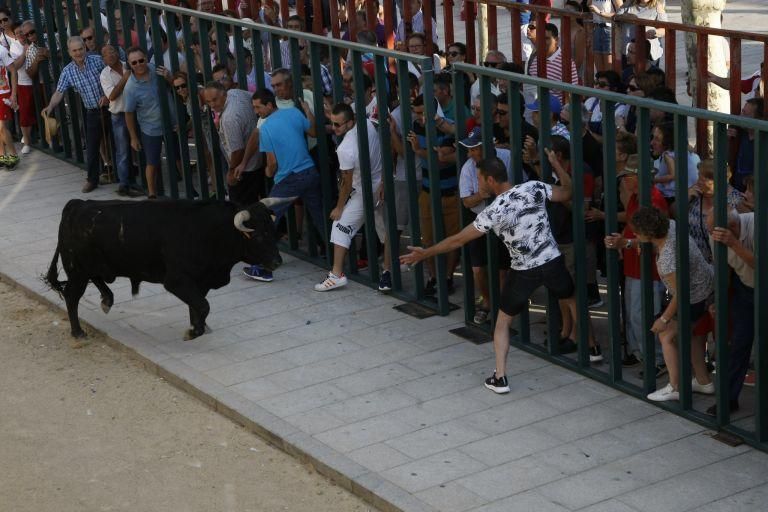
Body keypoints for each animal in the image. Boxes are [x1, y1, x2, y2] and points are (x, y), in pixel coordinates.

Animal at [43, 196, 294, 340]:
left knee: (97, 279)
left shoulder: (200, 281)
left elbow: (198, 306)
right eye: (258, 236)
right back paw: (78, 332)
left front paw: (199, 327)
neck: (211, 231)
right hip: (77, 270)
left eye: (272, 230)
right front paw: (192, 333)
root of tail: (76, 205)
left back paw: (107, 299)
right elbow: (203, 305)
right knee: (72, 296)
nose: (277, 262)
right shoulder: (176, 281)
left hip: (93, 267)